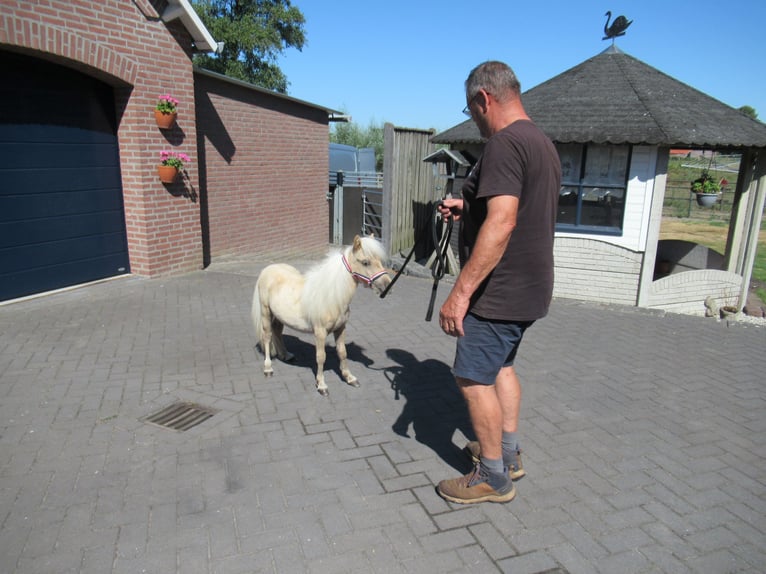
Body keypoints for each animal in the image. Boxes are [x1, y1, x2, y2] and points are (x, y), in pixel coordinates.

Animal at [251, 235, 391, 396]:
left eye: (379, 260)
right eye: (365, 262)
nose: (387, 286)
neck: (333, 295)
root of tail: (267, 269)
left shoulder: (341, 329)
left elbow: (342, 352)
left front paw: (350, 378)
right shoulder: (320, 332)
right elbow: (321, 357)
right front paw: (322, 385)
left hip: (279, 317)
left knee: (277, 333)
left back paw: (286, 355)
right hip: (266, 313)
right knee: (267, 337)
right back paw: (268, 368)